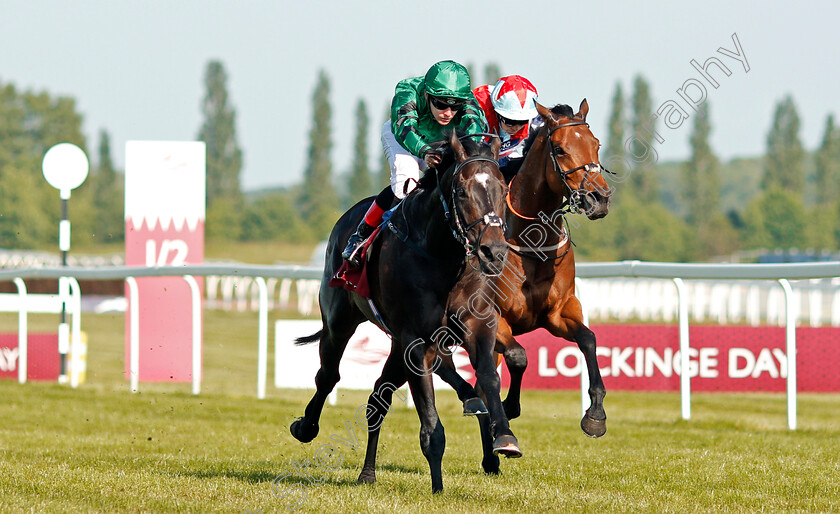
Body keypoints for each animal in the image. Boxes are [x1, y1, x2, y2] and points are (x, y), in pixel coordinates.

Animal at [290, 133, 512, 492]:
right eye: (462, 192)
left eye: (502, 188)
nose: (494, 251)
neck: (441, 254)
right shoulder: (416, 342)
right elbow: (432, 427)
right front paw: (437, 489)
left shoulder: (476, 326)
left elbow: (488, 378)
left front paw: (503, 436)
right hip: (339, 321)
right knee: (328, 376)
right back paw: (307, 427)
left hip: (397, 346)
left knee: (377, 398)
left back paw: (368, 473)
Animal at [358, 99, 612, 476]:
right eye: (561, 149)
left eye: (596, 144)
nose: (599, 198)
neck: (530, 244)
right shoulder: (495, 319)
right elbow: (519, 357)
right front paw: (510, 408)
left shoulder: (559, 312)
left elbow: (589, 339)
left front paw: (595, 415)